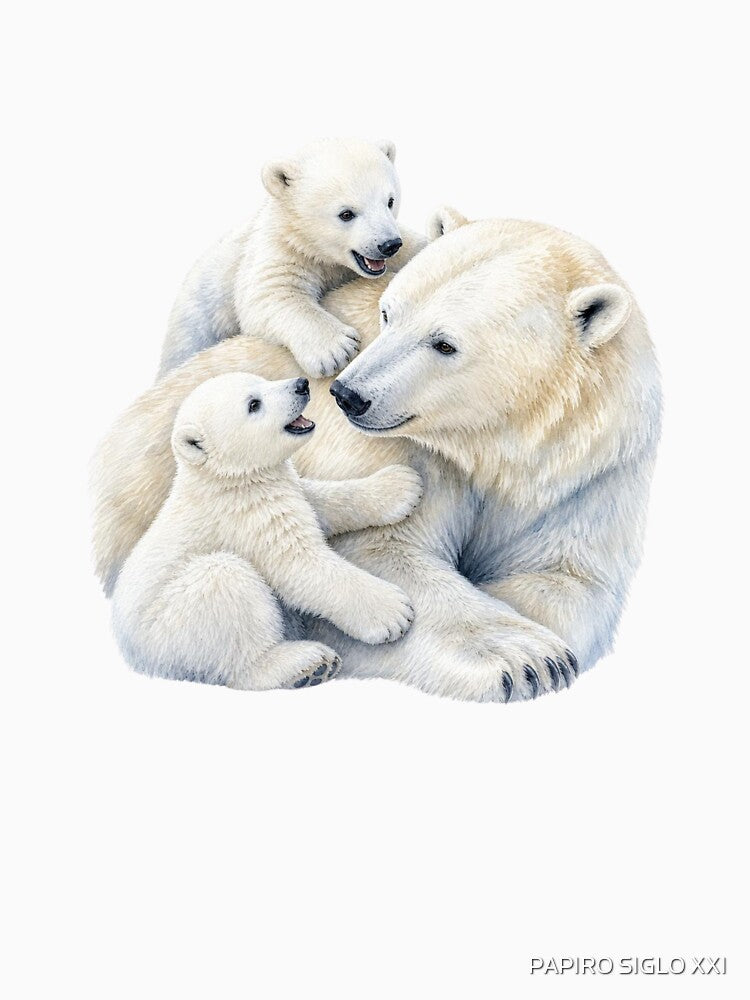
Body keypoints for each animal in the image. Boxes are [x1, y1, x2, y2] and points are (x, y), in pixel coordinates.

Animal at [110, 371, 423, 690]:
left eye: (262, 380)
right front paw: (392, 612)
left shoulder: (279, 486)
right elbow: (300, 564)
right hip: (172, 626)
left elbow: (319, 502)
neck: (224, 480)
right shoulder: (244, 516)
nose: (301, 385)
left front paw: (401, 486)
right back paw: (306, 664)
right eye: (254, 404)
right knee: (225, 586)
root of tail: (137, 660)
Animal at [158, 137, 427, 380]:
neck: (318, 251)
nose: (389, 245)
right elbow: (271, 293)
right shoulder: (278, 248)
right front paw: (335, 349)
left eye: (390, 201)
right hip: (194, 329)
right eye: (346, 213)